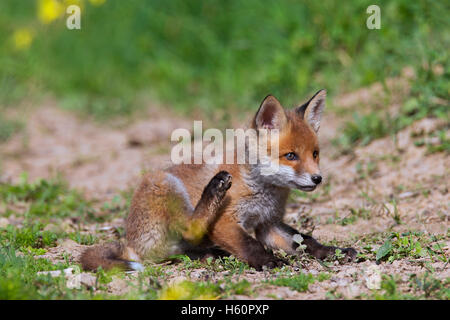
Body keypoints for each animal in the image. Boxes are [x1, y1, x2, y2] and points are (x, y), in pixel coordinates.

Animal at [80, 90, 356, 272]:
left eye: (315, 154)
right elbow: (250, 245)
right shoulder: (225, 222)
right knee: (189, 229)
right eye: (291, 156)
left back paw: (212, 255)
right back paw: (214, 190)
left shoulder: (268, 224)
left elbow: (305, 240)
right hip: (164, 184)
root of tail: (131, 241)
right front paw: (269, 261)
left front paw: (333, 252)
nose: (317, 178)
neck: (262, 190)